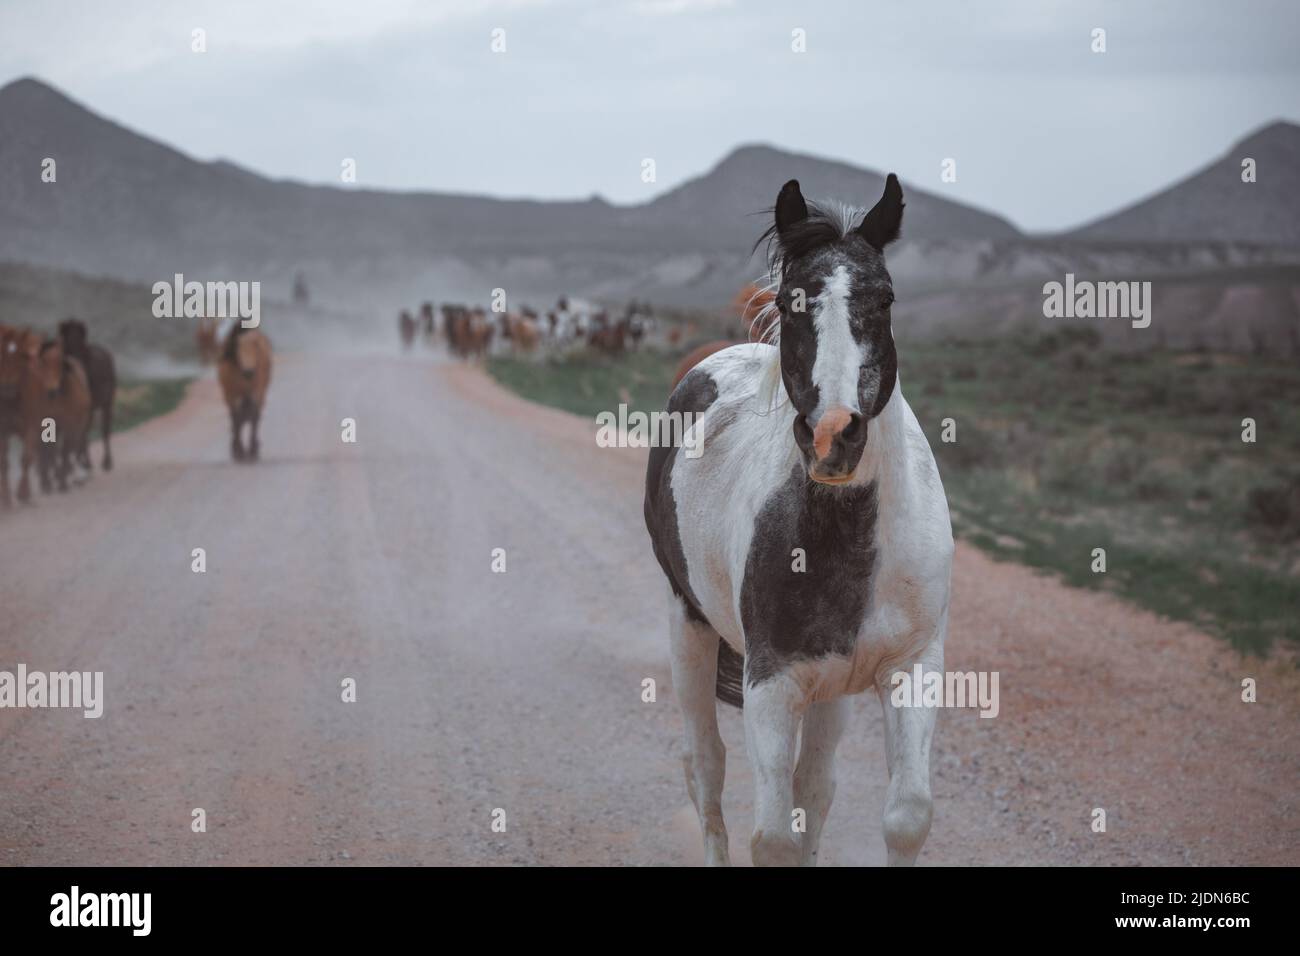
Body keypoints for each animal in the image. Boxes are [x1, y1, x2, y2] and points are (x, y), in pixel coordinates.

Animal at [57, 318, 117, 472]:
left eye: (79, 341)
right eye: (64, 341)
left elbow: (81, 433)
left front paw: (81, 462)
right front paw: (78, 462)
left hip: (107, 402)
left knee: (105, 428)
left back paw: (106, 462)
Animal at [217, 325, 273, 462]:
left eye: (256, 347)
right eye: (238, 348)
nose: (249, 372)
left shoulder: (257, 391)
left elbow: (254, 416)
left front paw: (252, 450)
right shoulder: (231, 394)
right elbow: (236, 418)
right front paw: (238, 451)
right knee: (237, 418)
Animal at [643, 175, 952, 867]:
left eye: (884, 297)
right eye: (790, 302)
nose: (833, 437)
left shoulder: (912, 666)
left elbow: (906, 817)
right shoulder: (773, 682)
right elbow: (774, 837)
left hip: (832, 687)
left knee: (816, 785)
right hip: (687, 623)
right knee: (704, 768)